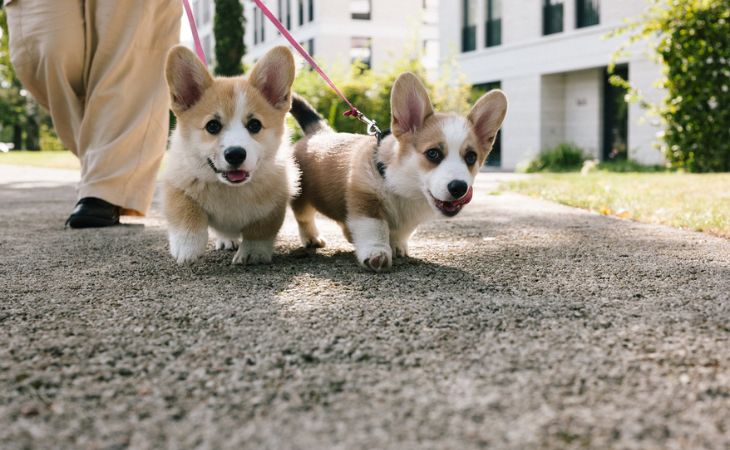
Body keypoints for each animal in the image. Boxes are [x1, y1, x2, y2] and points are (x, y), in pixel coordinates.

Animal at [161, 45, 296, 266]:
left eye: (254, 125)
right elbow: (186, 211)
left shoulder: (275, 202)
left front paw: (253, 253)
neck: (230, 189)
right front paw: (188, 247)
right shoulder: (177, 184)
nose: (235, 154)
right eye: (212, 126)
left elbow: (261, 229)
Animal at [288, 72, 506, 272]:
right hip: (301, 197)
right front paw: (377, 253)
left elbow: (403, 232)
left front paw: (398, 246)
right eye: (433, 153)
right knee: (304, 217)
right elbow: (375, 228)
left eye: (471, 157)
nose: (459, 188)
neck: (405, 187)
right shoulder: (366, 202)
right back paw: (312, 238)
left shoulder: (410, 219)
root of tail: (317, 131)